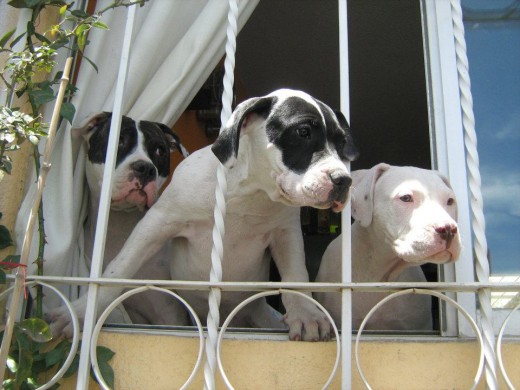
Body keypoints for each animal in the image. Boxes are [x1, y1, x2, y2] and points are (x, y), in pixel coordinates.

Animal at [49, 91, 358, 342]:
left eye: (343, 143)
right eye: (303, 132)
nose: (343, 180)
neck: (250, 192)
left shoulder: (286, 235)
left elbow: (296, 274)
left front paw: (306, 314)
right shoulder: (157, 223)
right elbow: (119, 268)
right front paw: (81, 313)